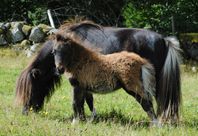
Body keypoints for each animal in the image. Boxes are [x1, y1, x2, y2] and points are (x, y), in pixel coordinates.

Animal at [15, 20, 181, 122]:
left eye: (32, 88)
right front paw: (90, 118)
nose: (25, 112)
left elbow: (83, 101)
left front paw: (84, 118)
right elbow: (87, 99)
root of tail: (164, 40)